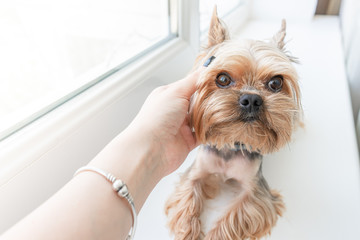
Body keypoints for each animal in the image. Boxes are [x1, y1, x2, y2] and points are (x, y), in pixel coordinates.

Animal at [165, 6, 302, 239]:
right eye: (222, 79)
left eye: (276, 83)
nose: (252, 99)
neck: (233, 142)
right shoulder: (195, 173)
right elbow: (188, 199)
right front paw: (190, 233)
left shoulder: (256, 192)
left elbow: (235, 216)